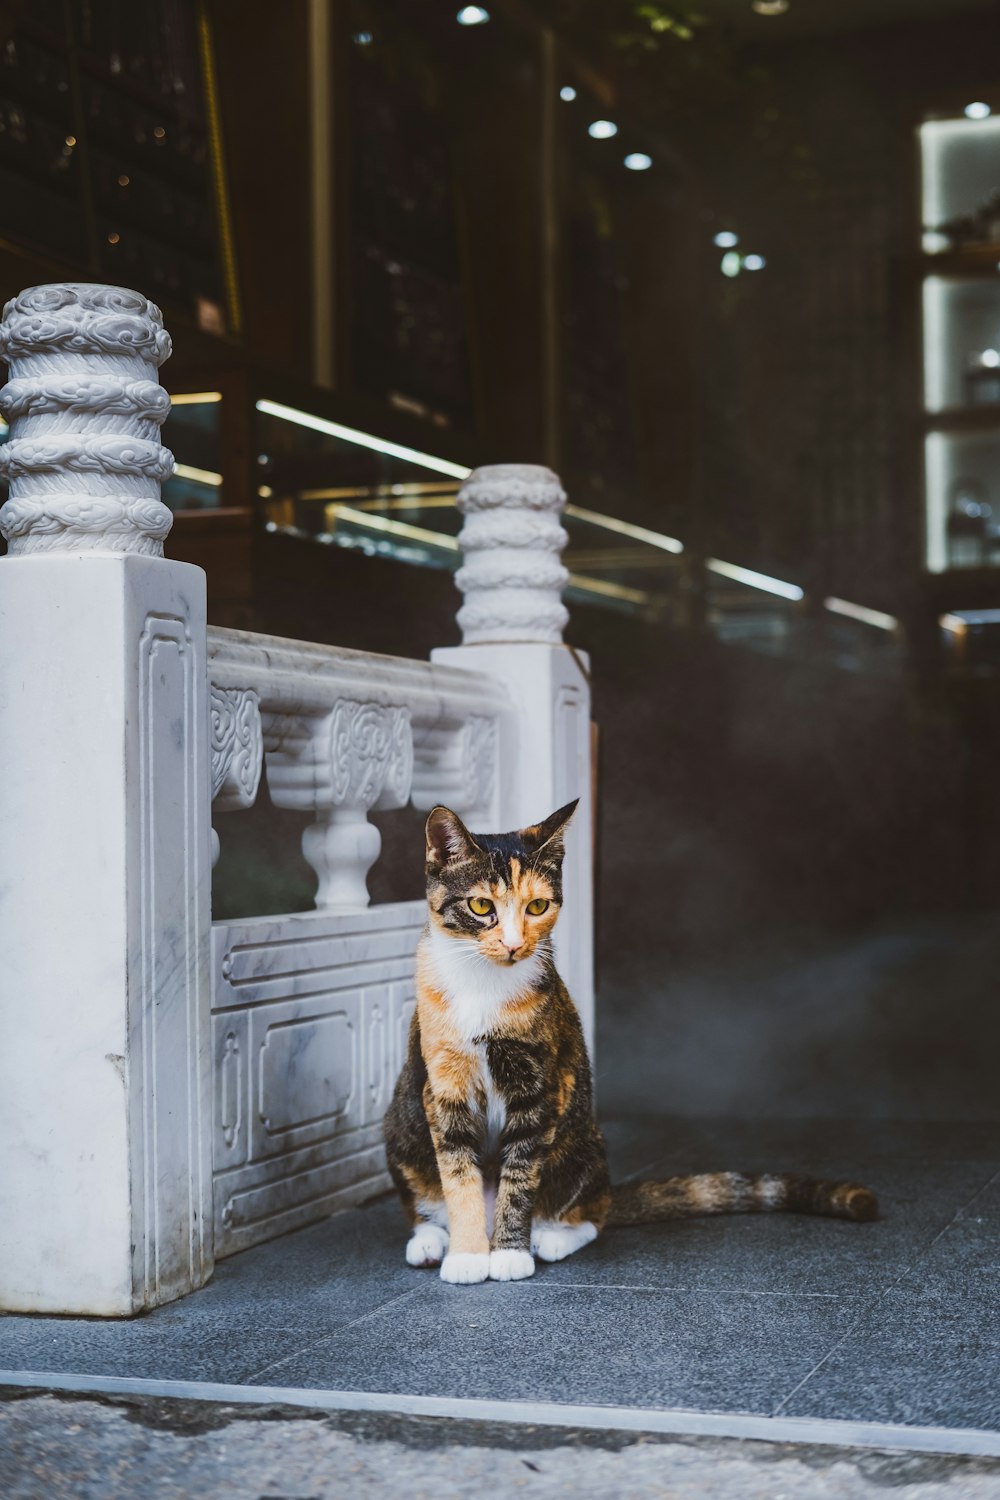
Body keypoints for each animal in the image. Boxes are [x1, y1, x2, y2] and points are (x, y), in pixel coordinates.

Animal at [383, 804, 875, 1284]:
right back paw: (432, 1241)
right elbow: (458, 1173)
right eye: (481, 905)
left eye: (537, 905)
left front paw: (508, 1256)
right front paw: (468, 1257)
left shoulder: (540, 1086)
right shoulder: (444, 1085)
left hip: (580, 1139)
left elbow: (519, 1176)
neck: (483, 985)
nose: (514, 944)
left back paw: (550, 1237)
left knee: (592, 1212)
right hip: (402, 1125)